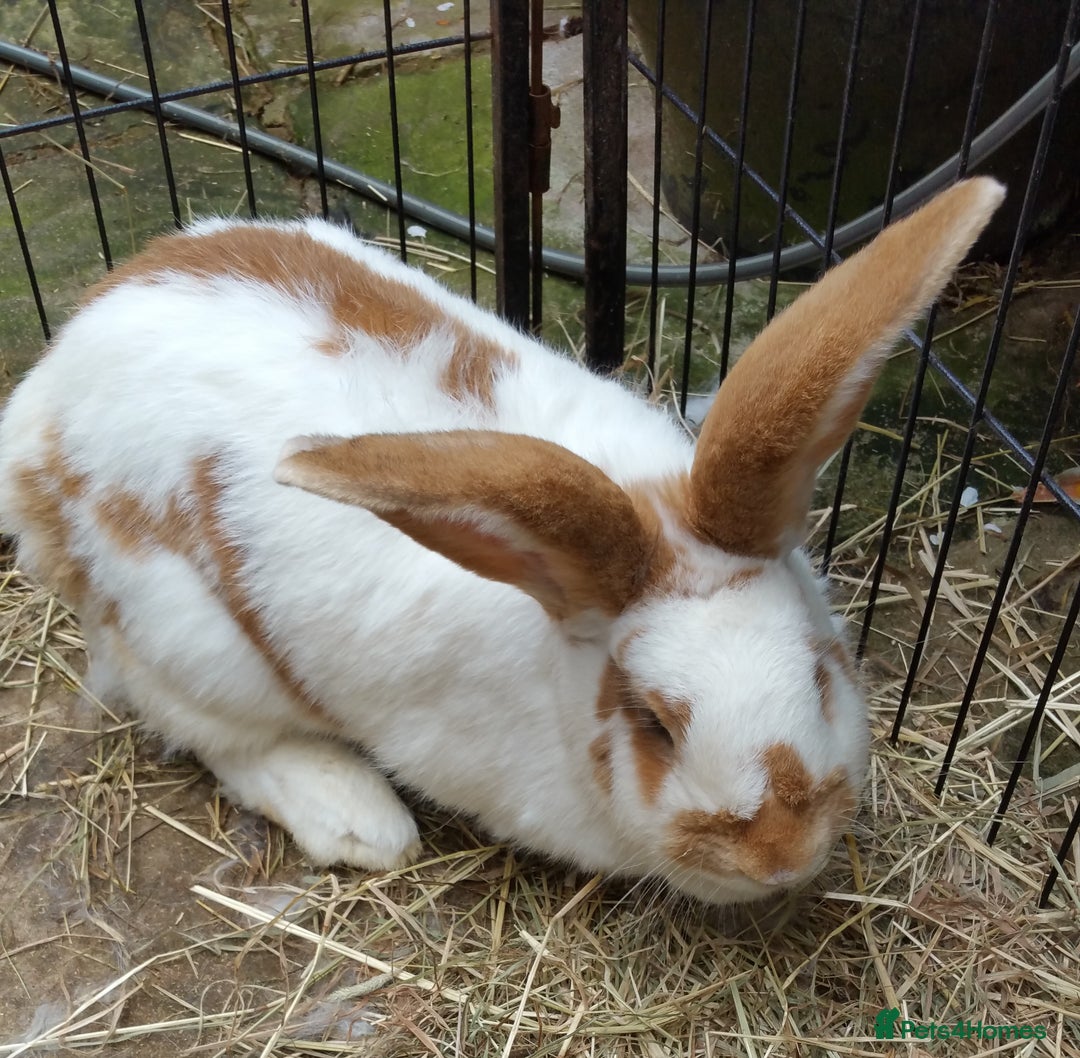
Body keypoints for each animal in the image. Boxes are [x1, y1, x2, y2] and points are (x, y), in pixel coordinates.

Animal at [0, 178, 1003, 905]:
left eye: (820, 676)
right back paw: (357, 819)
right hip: (186, 636)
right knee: (207, 729)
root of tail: (45, 397)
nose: (783, 854)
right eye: (653, 723)